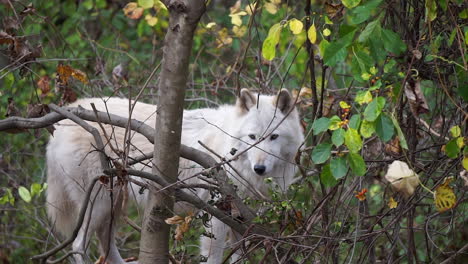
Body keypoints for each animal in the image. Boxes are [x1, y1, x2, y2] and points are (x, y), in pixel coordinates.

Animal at [46, 88, 304, 262]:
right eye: (252, 138)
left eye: (273, 137)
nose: (259, 168)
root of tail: (66, 117)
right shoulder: (218, 217)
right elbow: (213, 256)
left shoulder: (243, 223)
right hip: (99, 202)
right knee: (78, 244)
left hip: (113, 204)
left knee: (105, 244)